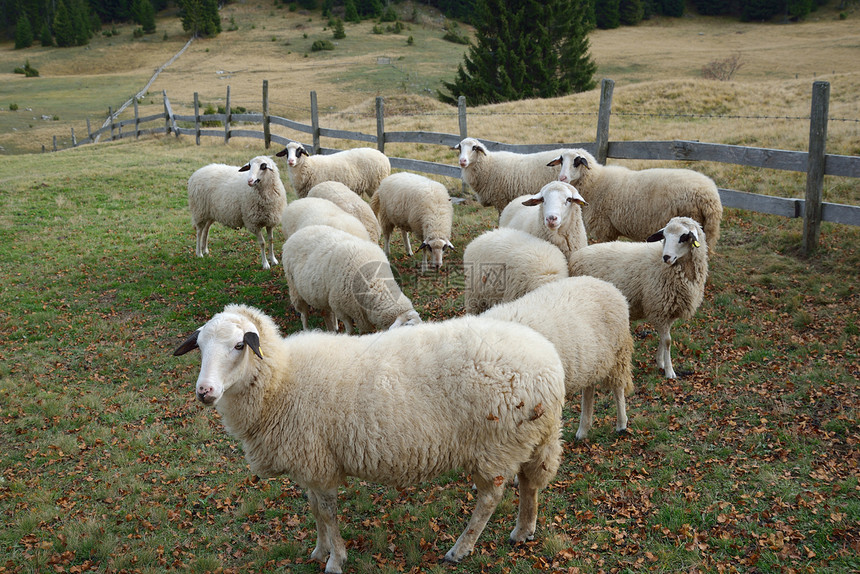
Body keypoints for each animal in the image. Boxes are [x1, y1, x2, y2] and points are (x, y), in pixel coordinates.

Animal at [172, 304, 568, 572]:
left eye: (239, 346)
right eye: (200, 347)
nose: (205, 392)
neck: (282, 379)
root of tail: (549, 364)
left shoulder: (319, 464)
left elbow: (327, 513)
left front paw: (335, 559)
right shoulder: (310, 463)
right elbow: (314, 509)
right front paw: (318, 551)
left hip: (495, 445)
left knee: (489, 499)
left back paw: (460, 549)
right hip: (529, 437)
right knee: (530, 482)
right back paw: (523, 530)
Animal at [282, 225, 420, 332]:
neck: (375, 284)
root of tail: (297, 233)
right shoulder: (340, 307)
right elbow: (350, 330)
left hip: (321, 295)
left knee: (326, 313)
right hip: (295, 290)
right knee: (304, 315)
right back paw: (306, 330)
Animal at [480, 278, 636, 440]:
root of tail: (607, 285)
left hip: (619, 353)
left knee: (618, 389)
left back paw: (621, 424)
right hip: (591, 360)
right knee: (589, 390)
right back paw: (583, 430)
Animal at [548, 150, 724, 253]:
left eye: (577, 162)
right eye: (561, 161)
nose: (562, 178)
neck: (595, 182)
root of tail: (711, 197)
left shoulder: (605, 228)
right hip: (708, 232)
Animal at [568, 218, 708, 380]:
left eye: (683, 237)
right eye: (665, 237)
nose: (666, 257)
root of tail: (576, 256)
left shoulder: (669, 310)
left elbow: (663, 339)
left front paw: (660, 362)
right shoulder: (659, 308)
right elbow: (667, 341)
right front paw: (669, 371)